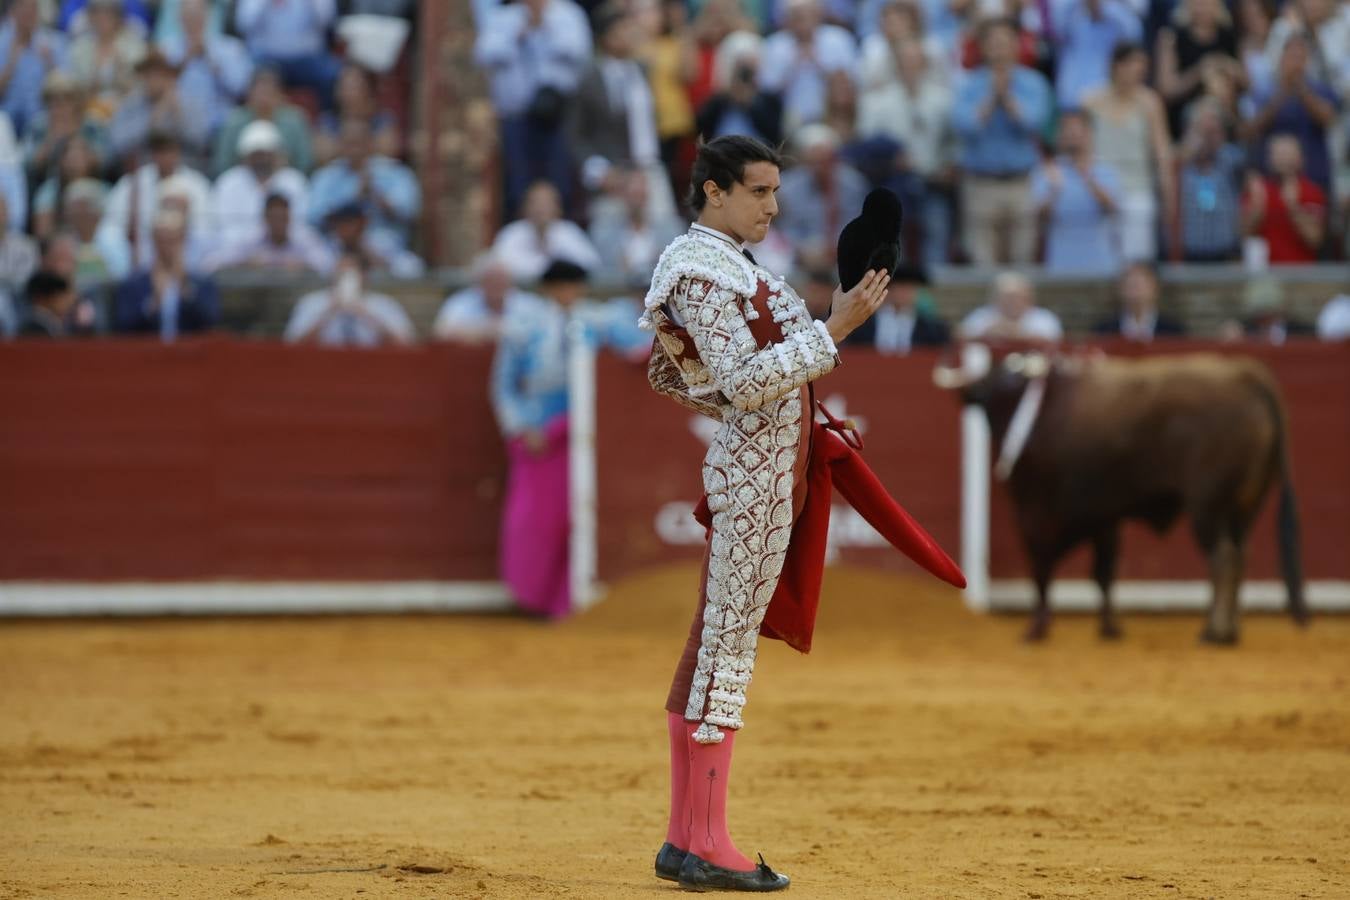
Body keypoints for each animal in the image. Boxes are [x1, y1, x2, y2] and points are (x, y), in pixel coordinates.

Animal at [934, 348, 1301, 647]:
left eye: (1004, 381)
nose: (971, 392)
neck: (1038, 407)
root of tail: (1245, 376)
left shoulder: (1034, 514)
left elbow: (1042, 570)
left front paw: (1036, 629)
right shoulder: (1104, 517)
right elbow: (1103, 572)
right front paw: (1110, 628)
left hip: (1208, 505)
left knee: (1223, 558)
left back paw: (1214, 632)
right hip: (1245, 506)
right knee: (1240, 556)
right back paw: (1230, 630)